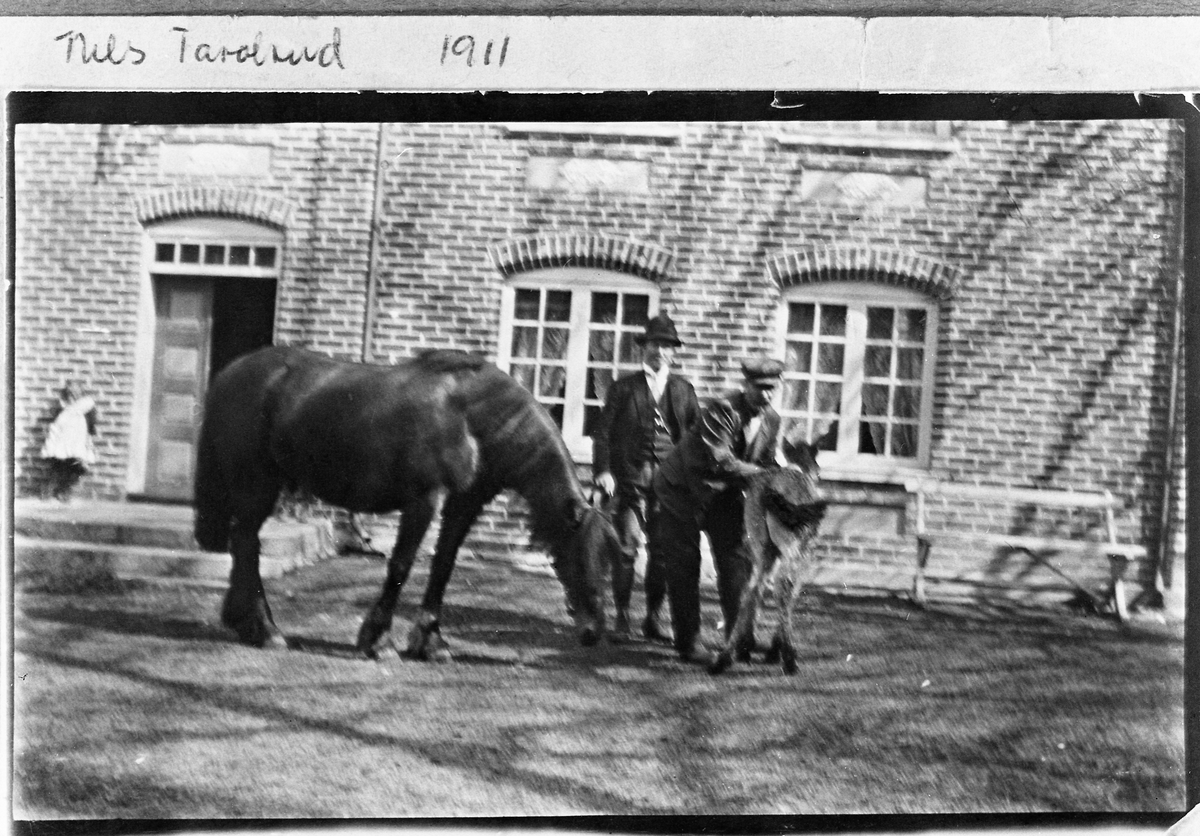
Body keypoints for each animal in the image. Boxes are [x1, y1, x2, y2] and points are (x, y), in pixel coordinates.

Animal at [195, 345, 614, 657]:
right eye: (578, 555)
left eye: (609, 557)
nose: (594, 630)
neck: (471, 416)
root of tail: (231, 374)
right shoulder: (423, 501)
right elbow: (401, 565)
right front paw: (377, 640)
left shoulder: (463, 506)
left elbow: (443, 566)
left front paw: (430, 642)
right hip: (257, 485)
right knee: (247, 545)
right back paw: (265, 630)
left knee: (244, 545)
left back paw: (247, 623)